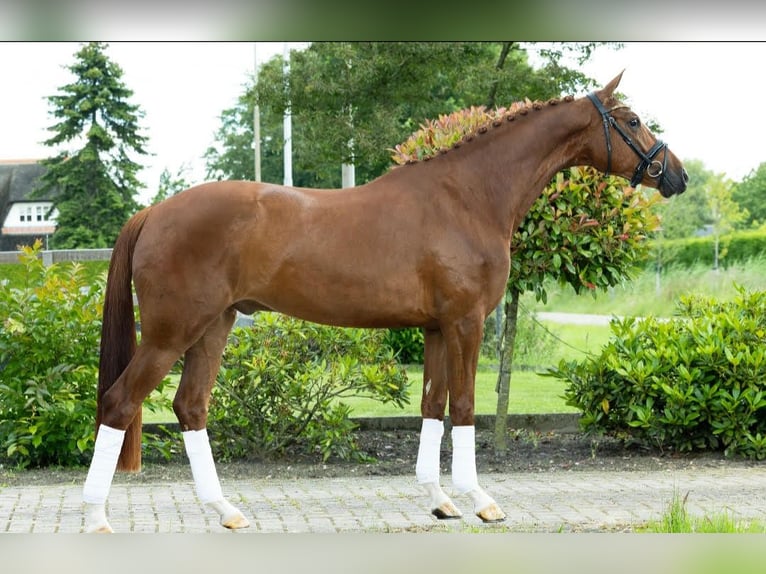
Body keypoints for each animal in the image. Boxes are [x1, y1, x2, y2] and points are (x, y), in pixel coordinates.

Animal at [82, 72, 687, 533]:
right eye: (633, 121)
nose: (676, 174)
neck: (468, 197)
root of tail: (154, 212)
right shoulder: (466, 322)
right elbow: (465, 408)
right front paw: (481, 502)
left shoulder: (437, 328)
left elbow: (432, 406)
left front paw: (440, 503)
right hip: (172, 331)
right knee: (119, 403)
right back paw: (97, 519)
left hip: (215, 324)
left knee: (190, 406)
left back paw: (226, 511)